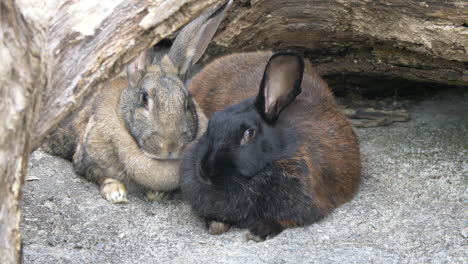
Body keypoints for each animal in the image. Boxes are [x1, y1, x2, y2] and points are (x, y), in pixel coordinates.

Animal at [44, 1, 232, 203]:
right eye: (144, 99)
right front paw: (116, 193)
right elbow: (98, 174)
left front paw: (157, 194)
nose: (171, 147)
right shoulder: (86, 158)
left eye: (187, 101)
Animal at [180, 50, 362, 241]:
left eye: (249, 133)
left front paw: (258, 232)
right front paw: (216, 225)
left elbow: (285, 221)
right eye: (211, 124)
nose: (206, 172)